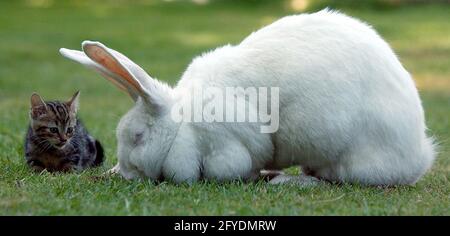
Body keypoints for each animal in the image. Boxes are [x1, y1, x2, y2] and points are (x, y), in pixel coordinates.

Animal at [59, 9, 436, 185]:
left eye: (137, 137)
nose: (124, 173)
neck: (182, 125)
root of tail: (419, 156)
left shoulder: (225, 146)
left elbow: (230, 167)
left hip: (339, 154)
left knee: (329, 179)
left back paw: (286, 180)